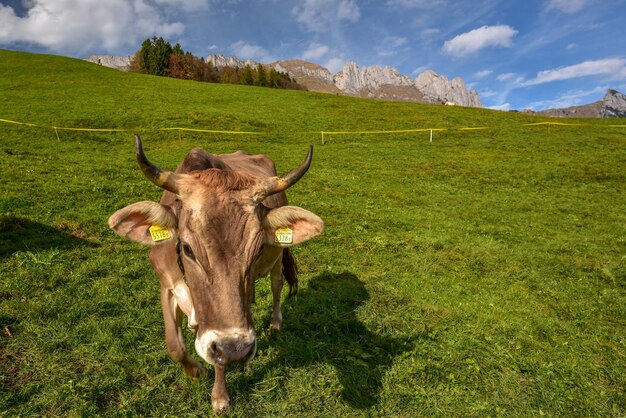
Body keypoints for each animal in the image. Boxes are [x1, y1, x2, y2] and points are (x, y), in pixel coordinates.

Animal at [107, 136, 322, 410]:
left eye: (259, 248)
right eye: (187, 248)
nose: (237, 349)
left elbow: (219, 357)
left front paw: (220, 396)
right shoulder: (167, 285)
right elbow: (174, 345)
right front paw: (197, 371)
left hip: (278, 259)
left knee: (276, 287)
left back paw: (275, 324)